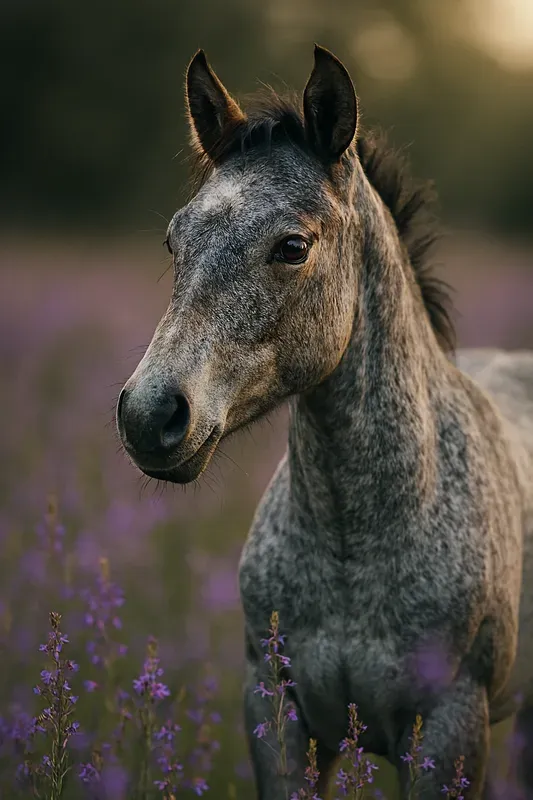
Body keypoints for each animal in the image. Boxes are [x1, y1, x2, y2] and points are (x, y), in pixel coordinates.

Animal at [116, 46, 533, 798]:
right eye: (172, 241)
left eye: (292, 246)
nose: (149, 414)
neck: (353, 543)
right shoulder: (278, 715)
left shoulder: (447, 730)